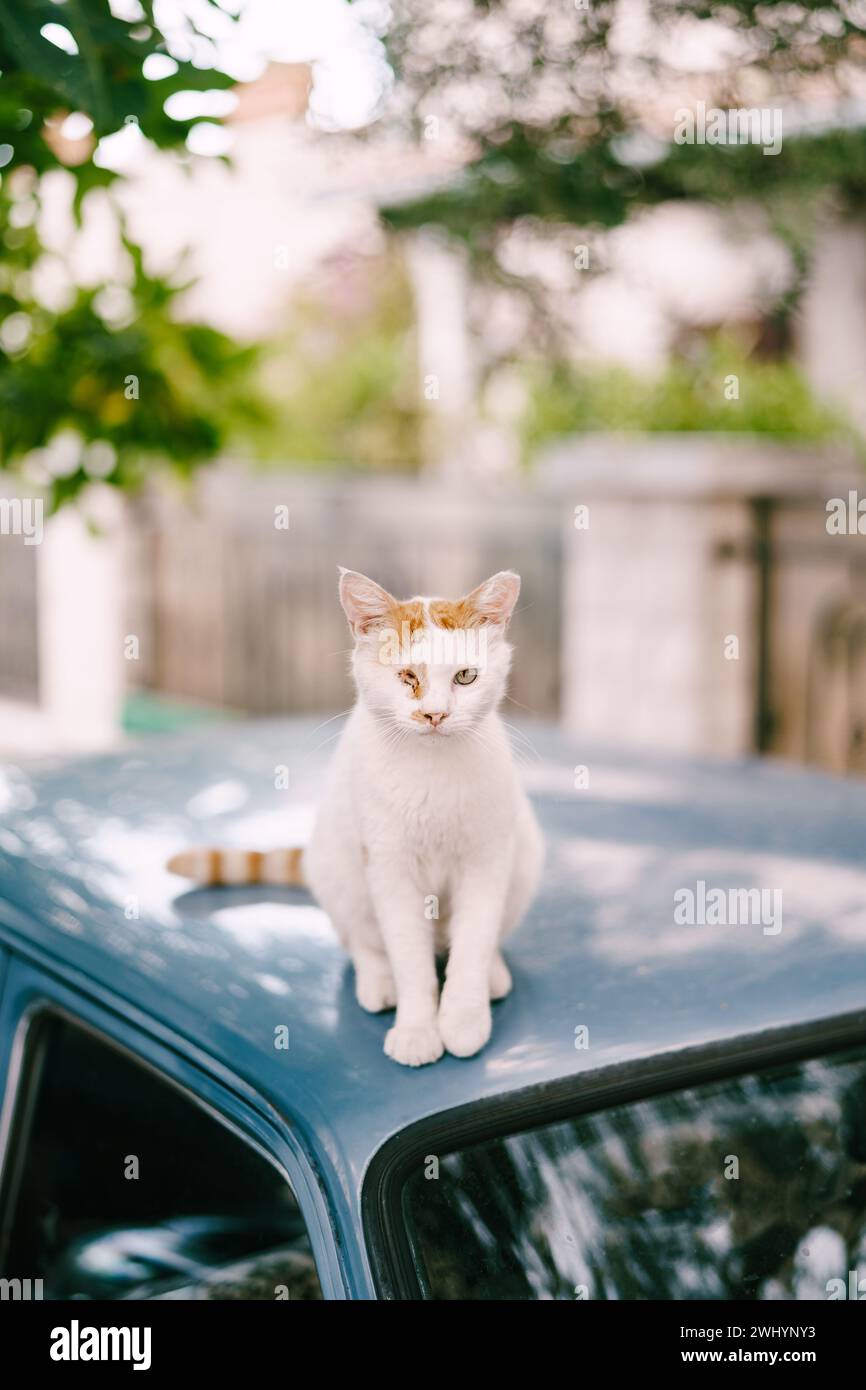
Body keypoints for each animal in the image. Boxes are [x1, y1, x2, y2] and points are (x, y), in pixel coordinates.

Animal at [168, 564, 542, 1061]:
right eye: (407, 676)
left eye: (465, 677)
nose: (435, 715)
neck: (431, 769)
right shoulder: (388, 867)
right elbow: (408, 956)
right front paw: (418, 1030)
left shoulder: (486, 860)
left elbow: (474, 942)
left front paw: (463, 1019)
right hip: (337, 868)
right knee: (362, 941)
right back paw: (378, 982)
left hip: (525, 856)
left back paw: (493, 977)